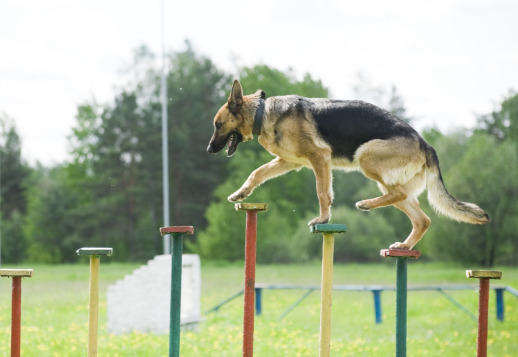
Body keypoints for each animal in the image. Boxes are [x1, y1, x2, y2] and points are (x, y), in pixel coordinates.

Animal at [207, 79, 492, 249]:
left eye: (217, 124)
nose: (209, 149)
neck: (262, 113)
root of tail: (425, 143)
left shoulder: (319, 158)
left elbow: (322, 193)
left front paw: (323, 218)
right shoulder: (288, 162)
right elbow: (257, 173)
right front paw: (241, 193)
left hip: (365, 157)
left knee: (398, 194)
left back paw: (366, 204)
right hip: (390, 182)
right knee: (421, 218)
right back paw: (404, 245)